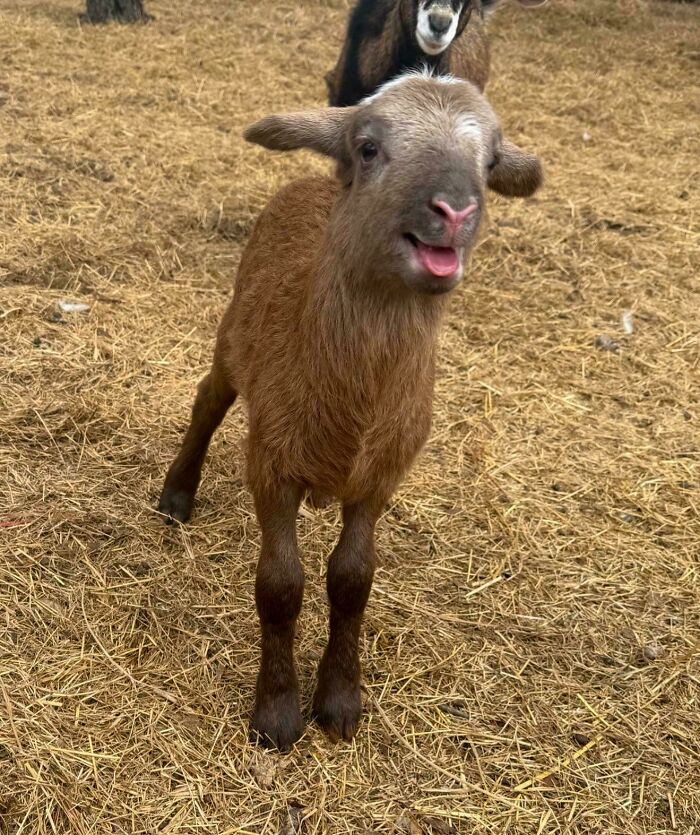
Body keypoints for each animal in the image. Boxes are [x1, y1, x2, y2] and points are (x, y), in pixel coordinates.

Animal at [158, 71, 541, 751]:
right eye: (368, 148)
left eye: (490, 162)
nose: (455, 212)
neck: (355, 401)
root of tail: (313, 180)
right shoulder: (272, 463)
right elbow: (280, 586)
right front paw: (277, 714)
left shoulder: (380, 477)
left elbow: (352, 580)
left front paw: (339, 701)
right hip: (234, 336)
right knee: (209, 398)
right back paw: (177, 494)